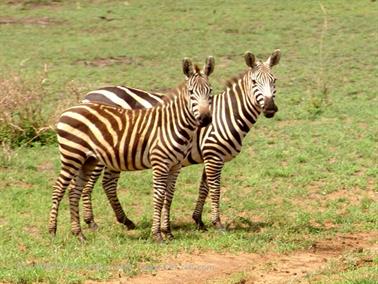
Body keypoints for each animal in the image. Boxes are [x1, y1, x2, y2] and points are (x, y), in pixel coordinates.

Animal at [46, 56, 216, 242]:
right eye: (191, 92)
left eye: (210, 91)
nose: (206, 119)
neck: (174, 124)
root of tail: (69, 109)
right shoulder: (160, 162)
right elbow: (158, 197)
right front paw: (157, 235)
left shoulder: (175, 165)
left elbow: (169, 197)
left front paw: (168, 232)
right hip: (72, 155)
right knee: (59, 188)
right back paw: (52, 231)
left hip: (88, 160)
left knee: (74, 191)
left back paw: (79, 234)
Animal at [77, 49, 280, 237]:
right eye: (254, 82)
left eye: (274, 81)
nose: (270, 109)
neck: (228, 113)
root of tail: (90, 94)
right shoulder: (214, 155)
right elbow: (215, 189)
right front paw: (217, 224)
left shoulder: (209, 156)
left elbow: (203, 188)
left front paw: (199, 221)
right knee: (90, 185)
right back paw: (91, 222)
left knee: (108, 183)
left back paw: (125, 221)